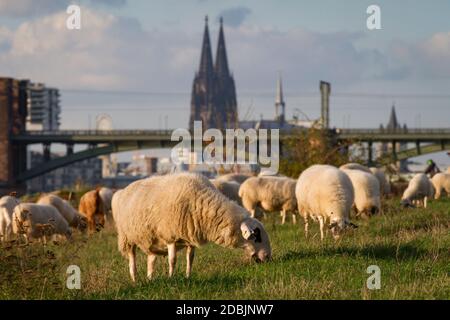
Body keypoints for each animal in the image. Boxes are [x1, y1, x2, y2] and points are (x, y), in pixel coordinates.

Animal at [112, 174, 272, 282]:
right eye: (257, 236)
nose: (267, 258)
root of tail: (122, 191)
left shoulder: (190, 237)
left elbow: (190, 259)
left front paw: (188, 277)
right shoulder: (170, 236)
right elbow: (172, 260)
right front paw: (171, 278)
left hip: (151, 241)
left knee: (151, 260)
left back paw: (150, 279)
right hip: (127, 238)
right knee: (132, 260)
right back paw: (135, 280)